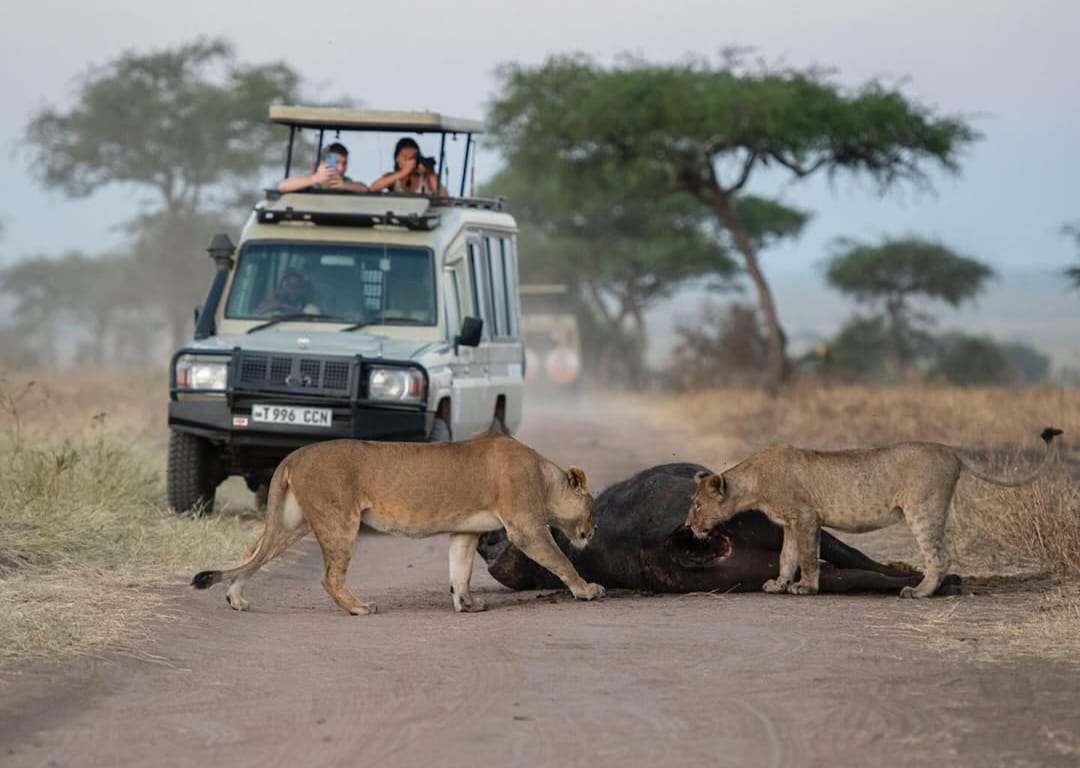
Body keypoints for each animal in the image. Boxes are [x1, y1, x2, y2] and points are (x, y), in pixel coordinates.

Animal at [191, 432, 605, 614]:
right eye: (592, 507)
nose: (594, 530)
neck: (544, 476)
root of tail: (292, 457)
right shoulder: (525, 527)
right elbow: (561, 560)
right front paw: (586, 590)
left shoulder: (465, 530)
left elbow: (460, 570)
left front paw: (467, 604)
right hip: (338, 520)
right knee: (329, 576)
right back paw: (359, 608)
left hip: (292, 523)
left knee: (253, 554)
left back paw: (236, 598)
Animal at [687, 427, 1063, 598]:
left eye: (697, 505)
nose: (688, 525)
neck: (753, 483)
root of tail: (950, 451)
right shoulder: (792, 523)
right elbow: (786, 556)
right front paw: (779, 584)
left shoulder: (806, 516)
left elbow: (807, 557)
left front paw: (806, 587)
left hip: (922, 509)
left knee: (939, 557)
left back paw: (919, 592)